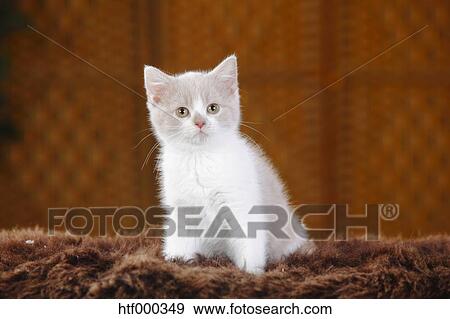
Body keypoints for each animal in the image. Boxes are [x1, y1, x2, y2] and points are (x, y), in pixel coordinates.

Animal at [144, 55, 312, 276]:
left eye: (212, 108)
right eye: (182, 112)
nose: (200, 122)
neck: (201, 158)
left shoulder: (242, 205)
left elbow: (248, 242)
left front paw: (250, 273)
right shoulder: (182, 209)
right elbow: (180, 240)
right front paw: (177, 263)